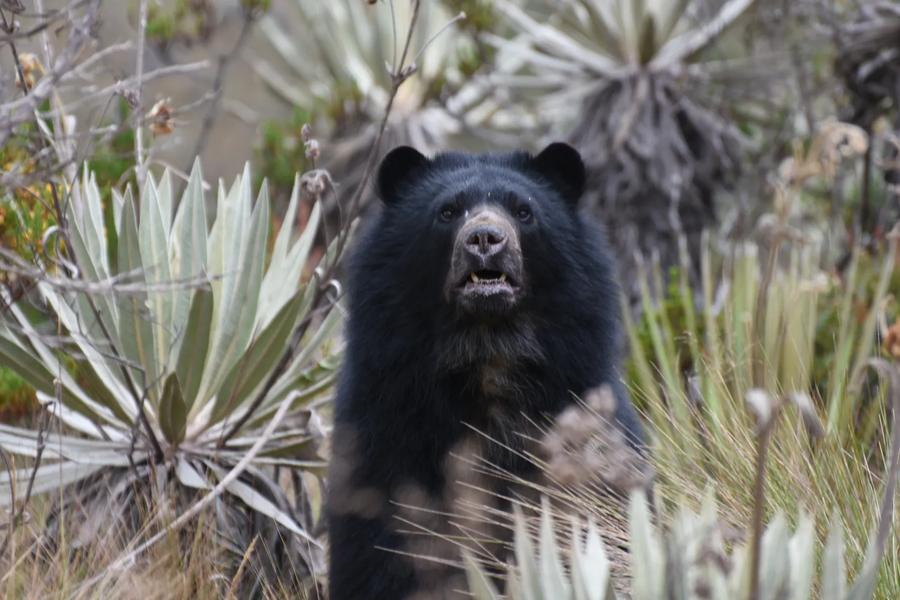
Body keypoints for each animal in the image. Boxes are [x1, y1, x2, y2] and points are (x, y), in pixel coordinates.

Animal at [326, 143, 644, 596]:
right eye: (447, 212)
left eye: (524, 211)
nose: (485, 239)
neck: (488, 352)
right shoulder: (386, 435)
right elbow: (379, 555)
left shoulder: (587, 427)